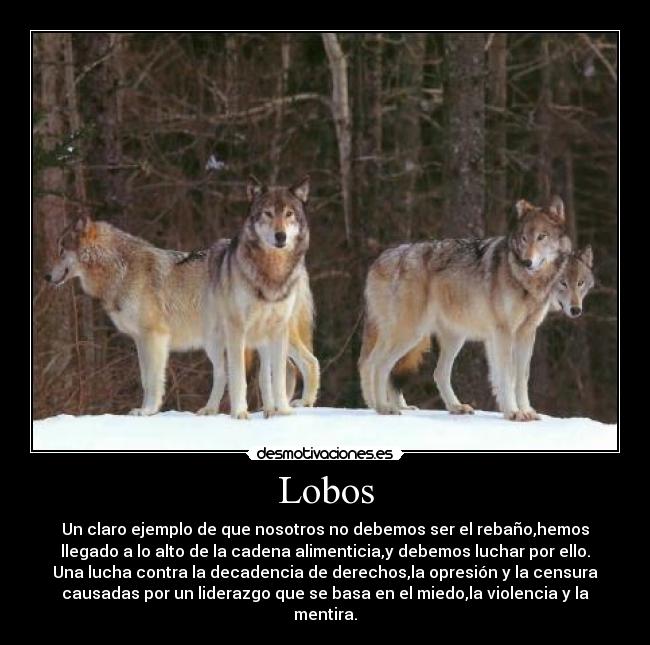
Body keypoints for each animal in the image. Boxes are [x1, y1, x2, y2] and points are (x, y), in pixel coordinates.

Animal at [45, 214, 319, 415]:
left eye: (61, 249)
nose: (46, 276)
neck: (121, 270)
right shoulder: (140, 340)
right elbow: (145, 378)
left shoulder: (154, 337)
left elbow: (153, 380)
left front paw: (147, 411)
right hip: (222, 342)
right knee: (233, 374)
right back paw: (218, 410)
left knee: (309, 362)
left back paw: (302, 404)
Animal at [206, 175, 312, 420]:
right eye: (268, 213)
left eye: (289, 213)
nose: (281, 236)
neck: (272, 274)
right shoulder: (237, 330)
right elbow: (239, 378)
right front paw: (239, 412)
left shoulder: (278, 328)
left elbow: (277, 378)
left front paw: (283, 411)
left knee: (302, 364)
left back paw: (296, 404)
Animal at [358, 196, 572, 421]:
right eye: (523, 238)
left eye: (541, 237)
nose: (526, 261)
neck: (526, 282)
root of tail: (383, 258)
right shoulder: (503, 333)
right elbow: (507, 375)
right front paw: (513, 412)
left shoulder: (526, 333)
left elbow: (521, 377)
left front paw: (527, 411)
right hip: (410, 334)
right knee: (377, 364)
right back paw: (383, 407)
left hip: (448, 338)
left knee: (436, 372)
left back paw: (454, 406)